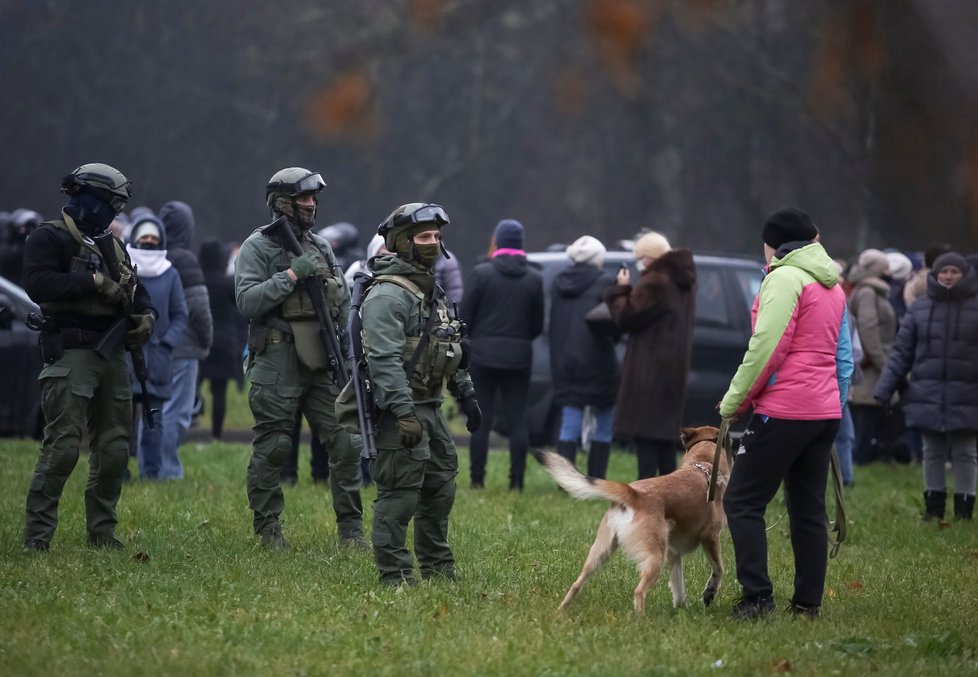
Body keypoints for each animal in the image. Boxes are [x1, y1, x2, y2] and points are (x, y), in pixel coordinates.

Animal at [528, 428, 728, 612]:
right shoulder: (711, 537)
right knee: (639, 591)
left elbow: (678, 585)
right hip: (655, 557)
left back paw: (561, 611)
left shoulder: (673, 552)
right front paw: (709, 593)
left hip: (601, 551)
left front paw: (681, 608)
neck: (703, 465)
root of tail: (634, 494)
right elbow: (718, 569)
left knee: (577, 583)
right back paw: (641, 621)